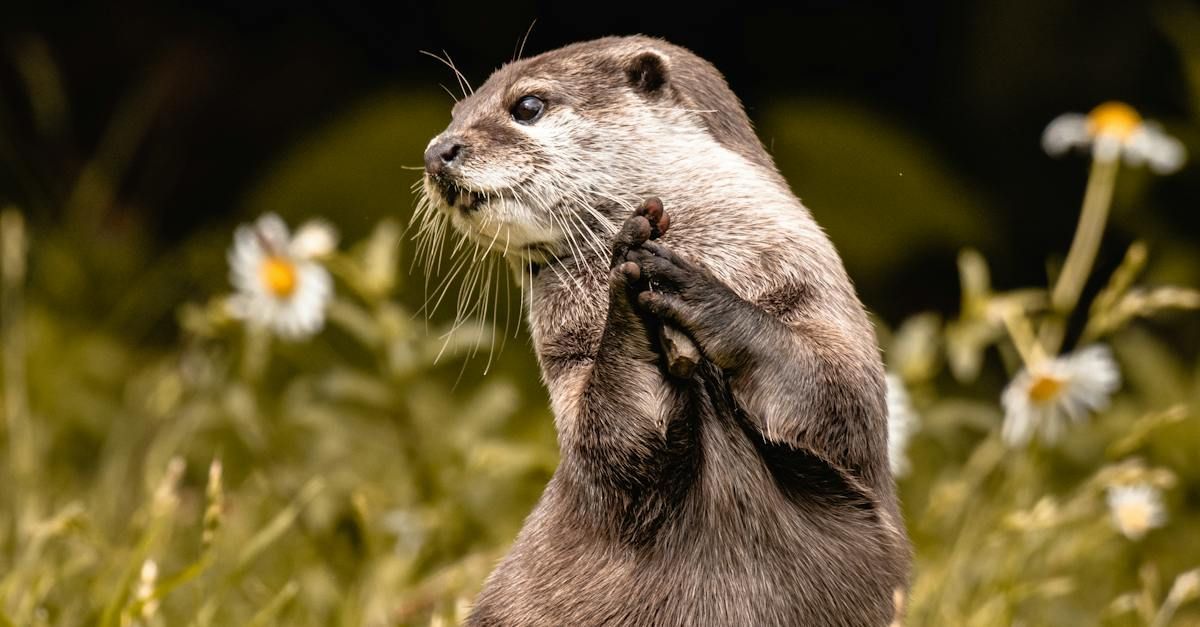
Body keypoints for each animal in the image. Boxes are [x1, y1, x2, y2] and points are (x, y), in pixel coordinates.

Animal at [417, 35, 902, 624]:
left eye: (527, 106)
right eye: (455, 115)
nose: (437, 152)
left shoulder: (812, 285)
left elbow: (840, 393)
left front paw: (693, 290)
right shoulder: (570, 363)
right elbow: (613, 446)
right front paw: (629, 297)